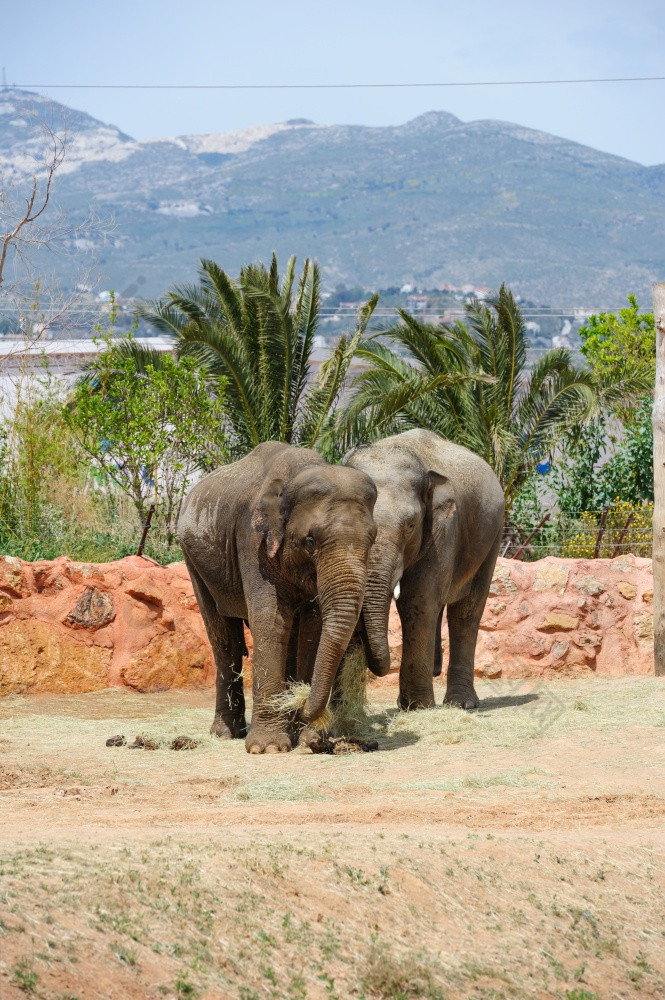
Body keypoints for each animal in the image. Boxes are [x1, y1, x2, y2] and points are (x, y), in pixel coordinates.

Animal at [176, 442, 376, 752]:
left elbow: (312, 630)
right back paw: (225, 733)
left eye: (374, 538)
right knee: (224, 639)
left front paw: (308, 740)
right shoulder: (252, 540)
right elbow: (270, 621)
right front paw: (268, 747)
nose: (305, 706)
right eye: (309, 541)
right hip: (193, 560)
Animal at [342, 430, 504, 712]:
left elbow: (418, 599)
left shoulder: (442, 528)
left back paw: (461, 704)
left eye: (410, 525)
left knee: (467, 611)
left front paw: (418, 707)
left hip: (492, 536)